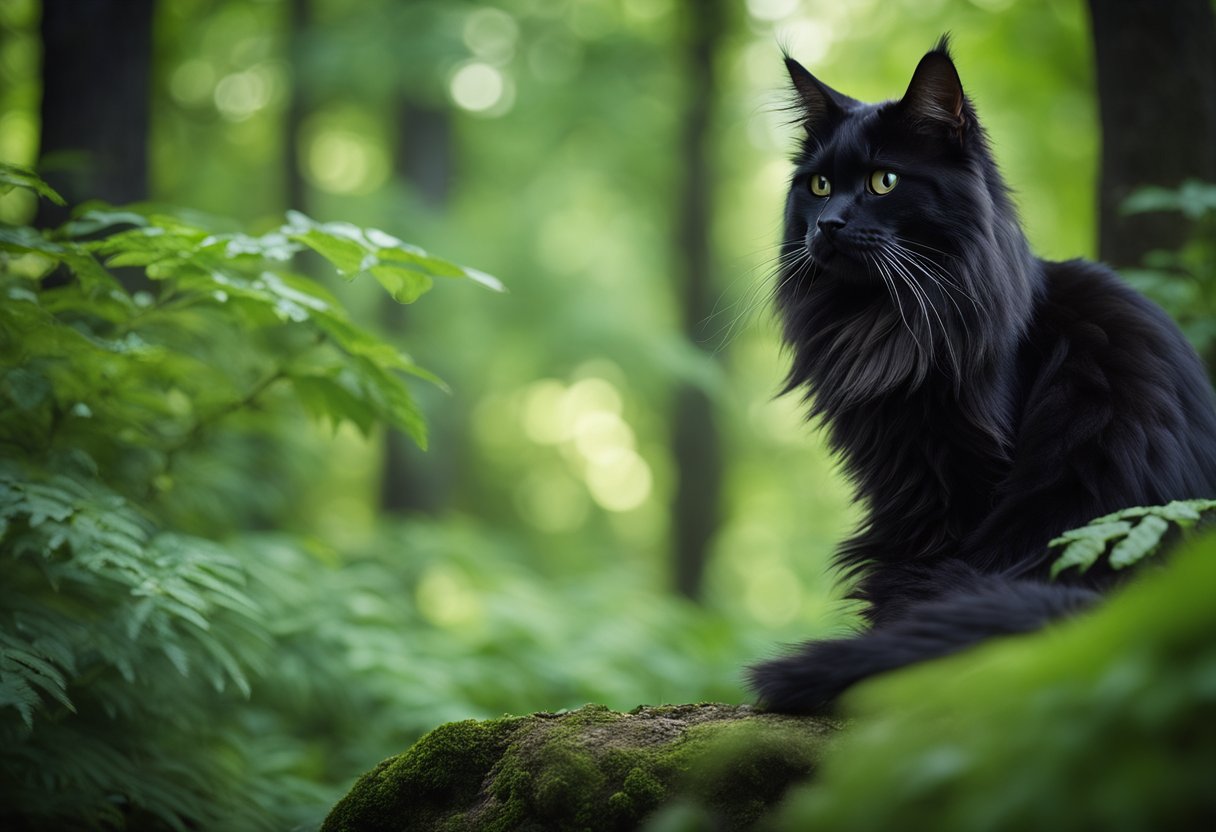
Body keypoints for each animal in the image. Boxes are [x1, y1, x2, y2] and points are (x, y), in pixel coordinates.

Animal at [744, 37, 1216, 715]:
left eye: (884, 181)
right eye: (820, 184)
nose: (827, 223)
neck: (886, 321)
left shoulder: (949, 484)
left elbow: (912, 582)